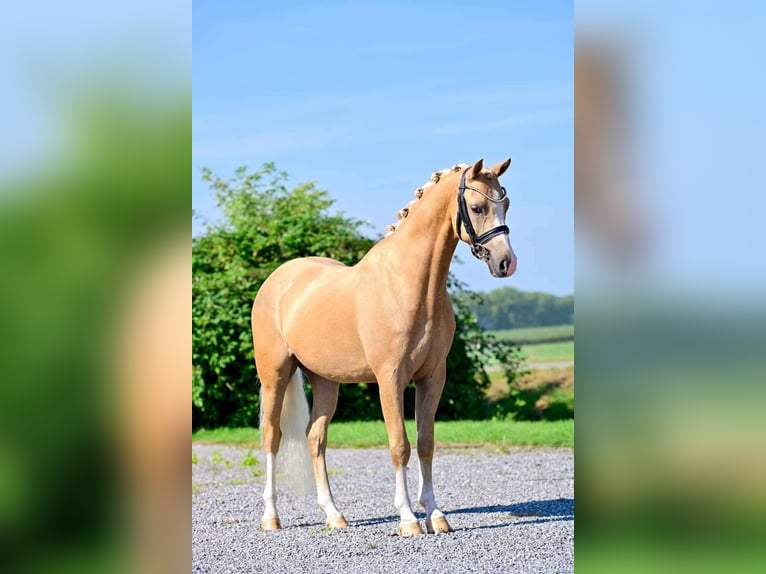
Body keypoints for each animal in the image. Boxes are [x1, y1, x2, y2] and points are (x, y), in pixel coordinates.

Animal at [251, 158, 517, 536]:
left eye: (505, 204)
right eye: (478, 207)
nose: (505, 263)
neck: (409, 284)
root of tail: (277, 280)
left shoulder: (432, 377)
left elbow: (426, 444)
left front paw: (435, 515)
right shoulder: (390, 378)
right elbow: (399, 445)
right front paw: (408, 519)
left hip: (325, 381)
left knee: (315, 437)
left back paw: (334, 515)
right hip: (275, 374)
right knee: (272, 436)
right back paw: (271, 517)